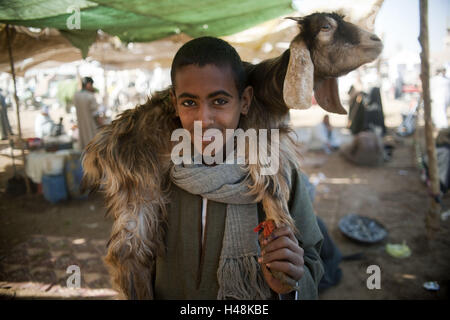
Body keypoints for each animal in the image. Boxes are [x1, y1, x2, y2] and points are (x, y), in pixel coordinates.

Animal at [81, 11, 384, 298]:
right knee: (128, 252)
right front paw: (282, 260)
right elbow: (273, 192)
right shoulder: (260, 145)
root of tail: (102, 143)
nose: (376, 41)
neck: (268, 90)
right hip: (139, 183)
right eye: (325, 27)